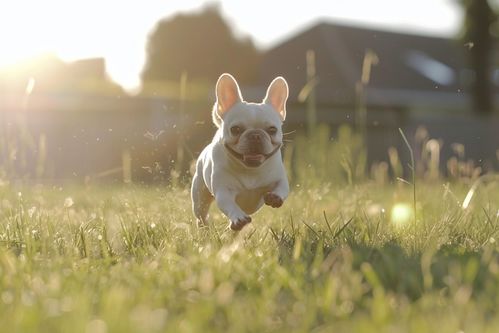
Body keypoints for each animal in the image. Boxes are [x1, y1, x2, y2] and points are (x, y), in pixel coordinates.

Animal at [192, 73, 292, 230]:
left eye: (272, 130)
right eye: (235, 129)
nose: (255, 135)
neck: (250, 171)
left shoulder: (280, 179)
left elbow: (282, 188)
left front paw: (275, 197)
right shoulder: (224, 192)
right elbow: (230, 205)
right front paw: (238, 218)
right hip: (200, 197)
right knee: (201, 215)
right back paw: (205, 228)